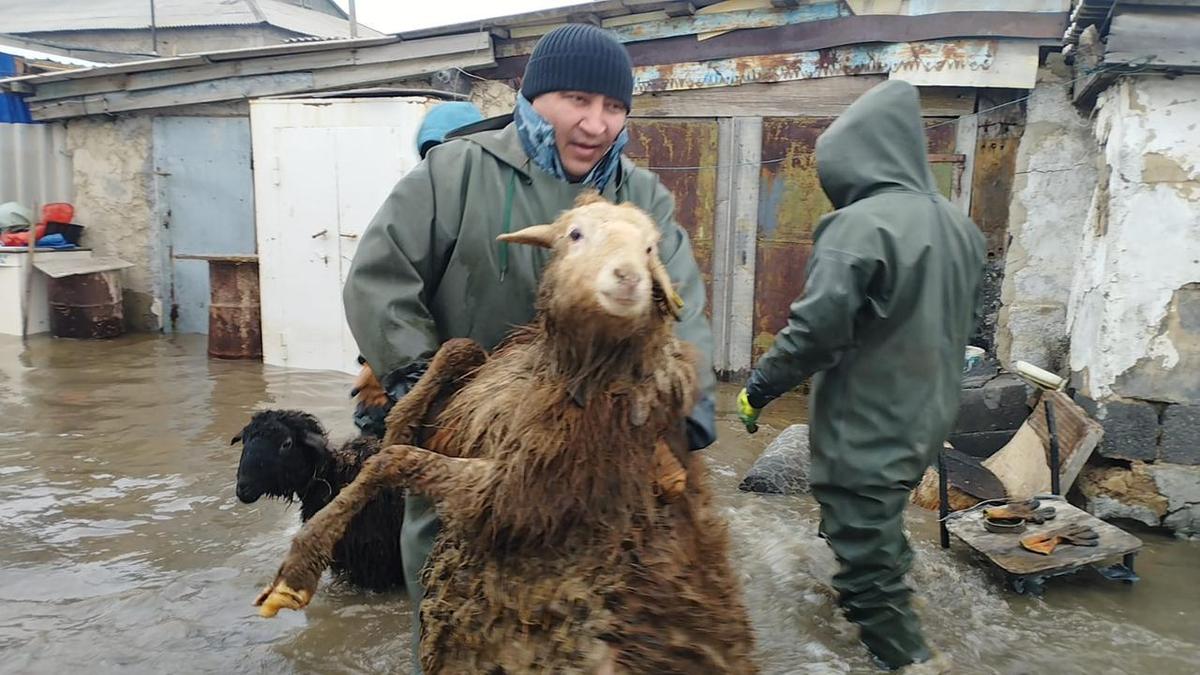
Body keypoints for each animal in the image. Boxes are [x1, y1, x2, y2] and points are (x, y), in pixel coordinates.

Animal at [254, 192, 758, 667]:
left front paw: (295, 573)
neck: (577, 376)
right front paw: (405, 406)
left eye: (650, 246)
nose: (629, 278)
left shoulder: (517, 494)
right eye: (574, 234)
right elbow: (455, 355)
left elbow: (393, 460)